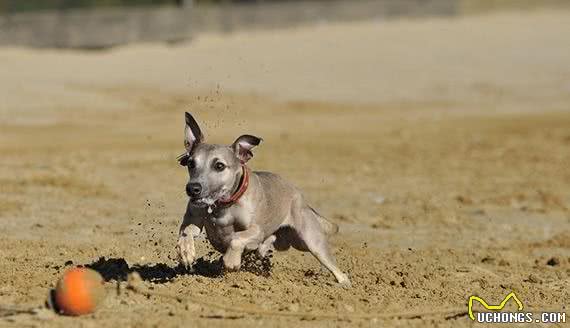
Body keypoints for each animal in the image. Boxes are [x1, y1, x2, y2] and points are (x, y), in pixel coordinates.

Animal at [175, 111, 348, 286]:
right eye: (191, 163)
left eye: (219, 166)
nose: (192, 189)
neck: (224, 205)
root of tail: (300, 197)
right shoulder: (193, 218)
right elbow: (186, 231)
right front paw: (186, 252)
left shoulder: (256, 230)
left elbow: (236, 238)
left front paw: (231, 261)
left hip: (310, 241)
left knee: (335, 268)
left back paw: (343, 284)